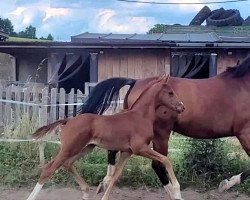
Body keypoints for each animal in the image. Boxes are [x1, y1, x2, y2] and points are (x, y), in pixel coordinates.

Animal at [26, 74, 185, 200]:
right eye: (170, 93)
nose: (182, 107)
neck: (141, 116)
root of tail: (68, 121)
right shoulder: (140, 148)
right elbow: (166, 160)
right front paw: (177, 191)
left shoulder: (127, 152)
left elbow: (116, 175)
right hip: (69, 149)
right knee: (48, 169)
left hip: (86, 148)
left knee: (68, 164)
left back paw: (86, 192)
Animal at [79, 55, 250, 196]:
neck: (244, 85)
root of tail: (135, 82)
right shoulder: (245, 134)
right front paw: (226, 184)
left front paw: (226, 183)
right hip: (161, 133)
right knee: (158, 164)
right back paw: (175, 193)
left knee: (114, 150)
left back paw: (104, 182)